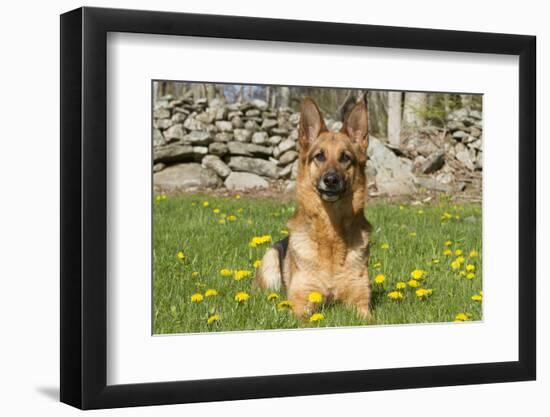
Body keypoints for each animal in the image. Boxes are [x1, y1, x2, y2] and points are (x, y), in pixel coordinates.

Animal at [258, 97, 370, 318]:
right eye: (320, 156)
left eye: (345, 157)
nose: (331, 180)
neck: (331, 234)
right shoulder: (301, 305)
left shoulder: (361, 305)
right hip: (271, 260)